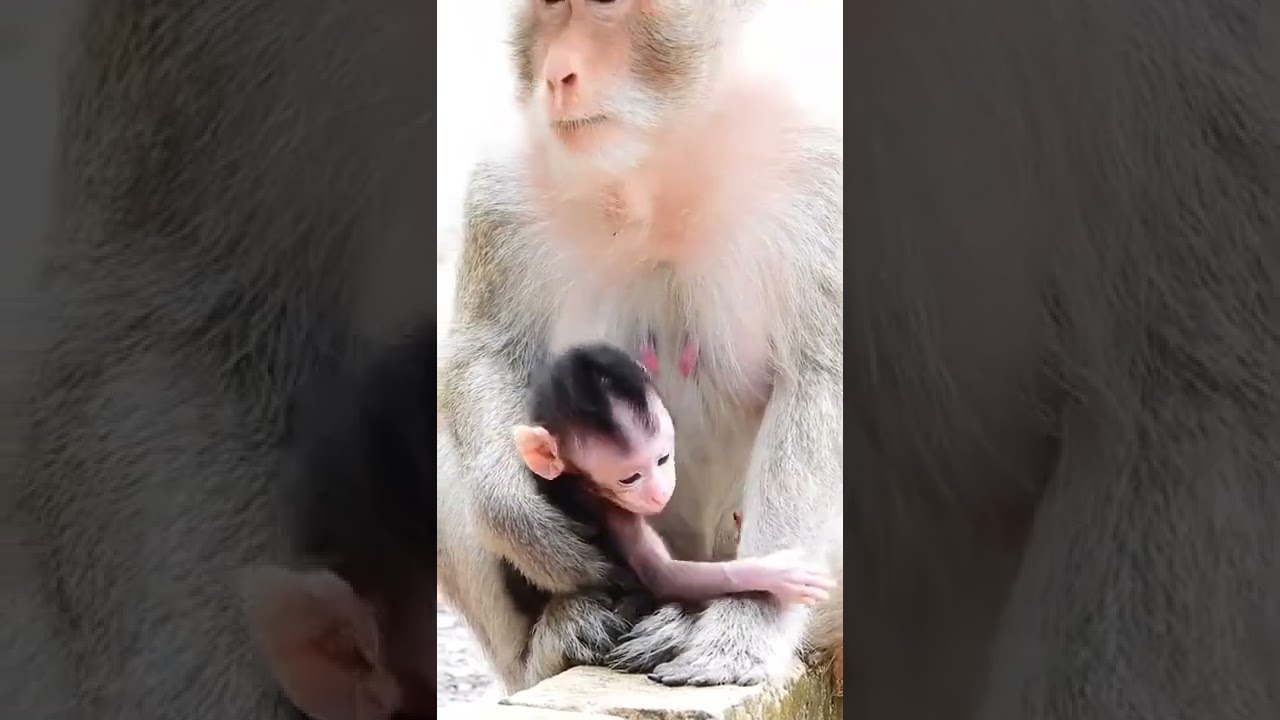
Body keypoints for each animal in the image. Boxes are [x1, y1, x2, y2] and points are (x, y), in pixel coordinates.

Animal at [514, 342, 836, 606]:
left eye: (663, 459)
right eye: (629, 479)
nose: (659, 492)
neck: (578, 484)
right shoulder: (617, 514)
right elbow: (666, 578)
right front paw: (772, 574)